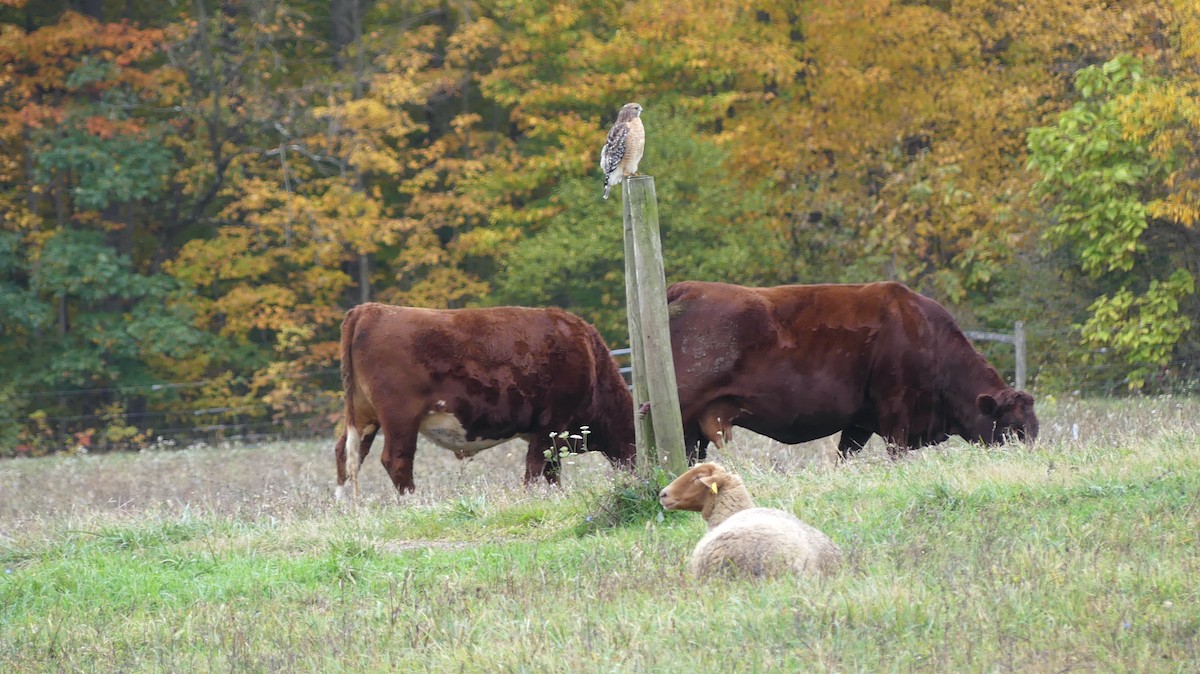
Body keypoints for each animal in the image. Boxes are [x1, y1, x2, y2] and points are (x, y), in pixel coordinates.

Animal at [336, 303, 638, 494]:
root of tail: (369, 309)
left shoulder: (549, 432)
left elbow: (552, 470)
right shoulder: (551, 422)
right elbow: (536, 467)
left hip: (364, 416)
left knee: (347, 455)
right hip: (400, 418)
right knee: (396, 460)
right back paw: (412, 501)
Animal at [667, 279, 1041, 460]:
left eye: (1035, 430)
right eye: (1012, 429)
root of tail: (685, 288)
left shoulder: (858, 426)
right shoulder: (896, 417)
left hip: (697, 427)